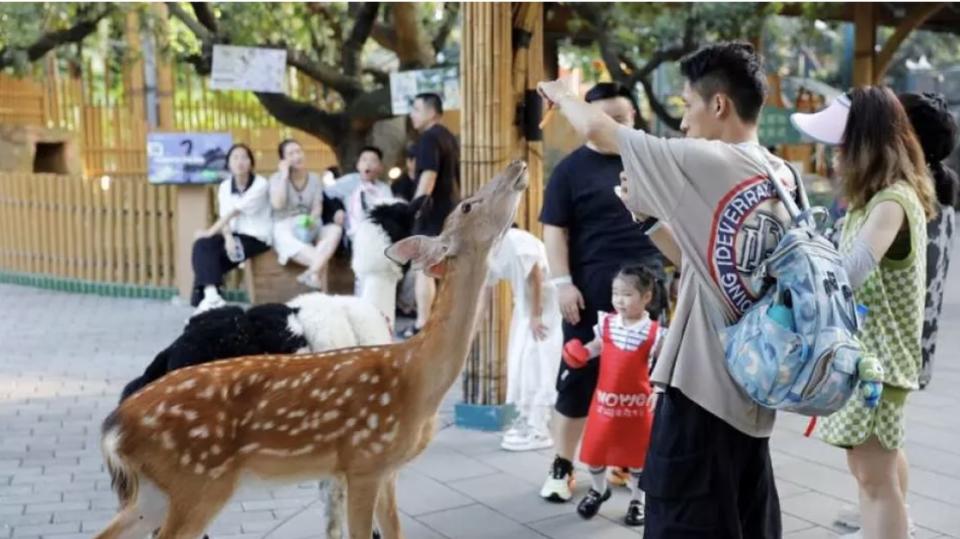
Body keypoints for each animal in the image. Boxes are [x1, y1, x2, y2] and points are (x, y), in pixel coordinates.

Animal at [95, 160, 532, 539]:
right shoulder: (364, 460)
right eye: (468, 204)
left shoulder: (387, 469)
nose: (516, 165)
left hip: (155, 492)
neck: (416, 374)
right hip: (198, 479)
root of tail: (114, 428)